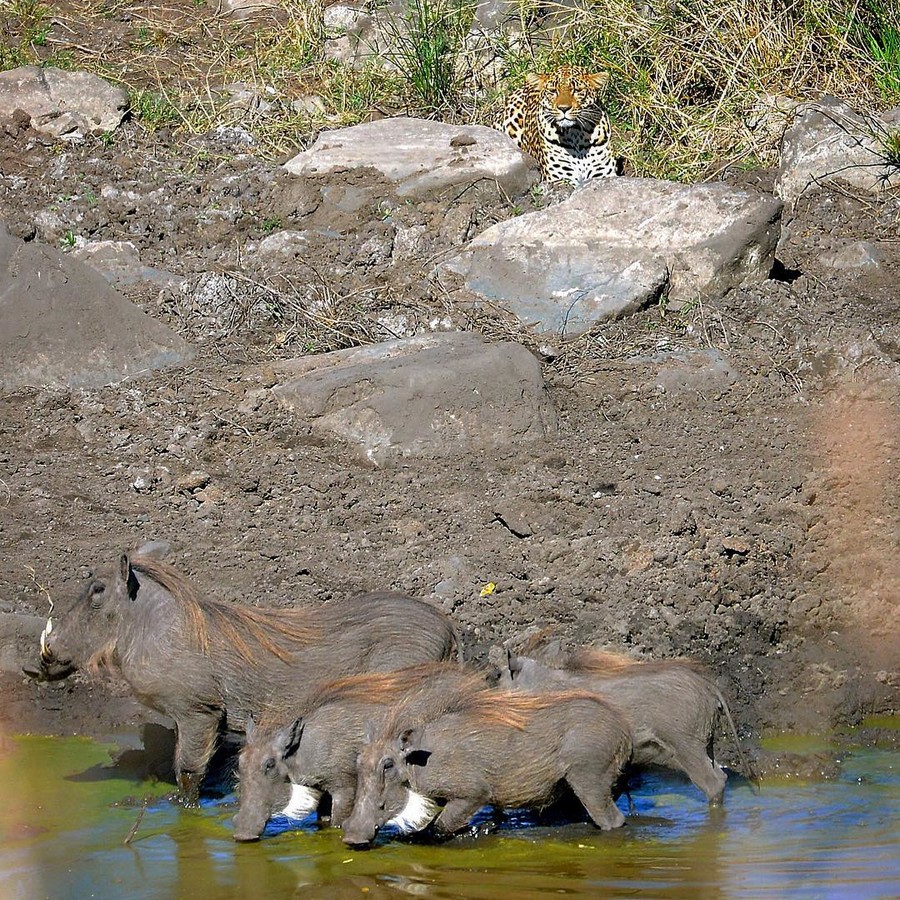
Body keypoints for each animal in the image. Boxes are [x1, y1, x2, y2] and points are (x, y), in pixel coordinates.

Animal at [492, 67, 620, 188]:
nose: (563, 108)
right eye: (553, 91)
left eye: (577, 90)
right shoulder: (560, 179)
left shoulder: (603, 175)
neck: (576, 134)